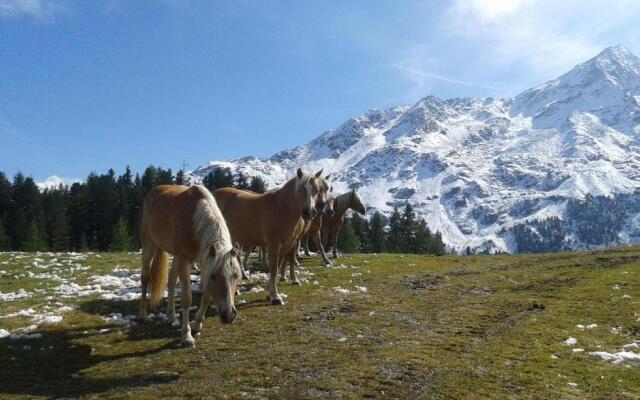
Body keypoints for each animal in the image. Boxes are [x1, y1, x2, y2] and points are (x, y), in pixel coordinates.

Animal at [140, 184, 242, 346]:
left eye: (236, 275)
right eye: (214, 276)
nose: (229, 315)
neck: (195, 220)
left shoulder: (205, 260)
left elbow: (206, 296)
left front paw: (197, 324)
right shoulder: (186, 260)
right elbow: (187, 299)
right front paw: (186, 336)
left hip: (174, 256)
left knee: (171, 281)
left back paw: (172, 316)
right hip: (149, 244)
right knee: (145, 277)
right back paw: (143, 314)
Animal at [215, 168, 324, 304]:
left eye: (316, 190)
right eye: (301, 190)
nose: (310, 212)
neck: (282, 208)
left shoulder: (289, 243)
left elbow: (281, 265)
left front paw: (270, 292)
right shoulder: (274, 244)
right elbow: (274, 268)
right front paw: (275, 296)